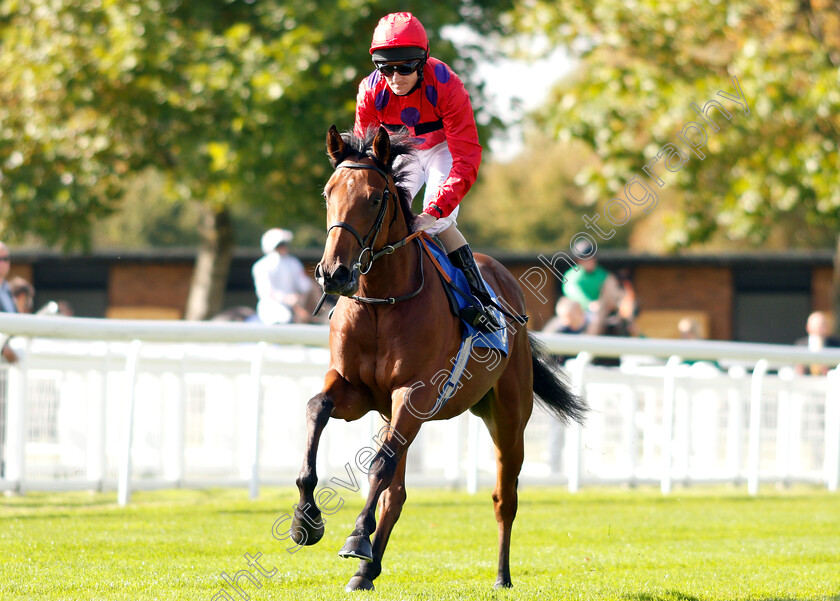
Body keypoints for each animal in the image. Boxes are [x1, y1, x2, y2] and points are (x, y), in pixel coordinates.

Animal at [292, 126, 588, 592]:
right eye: (328, 193)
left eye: (374, 199)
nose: (334, 273)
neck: (381, 300)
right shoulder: (356, 391)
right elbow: (316, 409)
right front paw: (305, 519)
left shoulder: (414, 393)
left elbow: (379, 466)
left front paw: (355, 536)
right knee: (396, 493)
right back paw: (366, 571)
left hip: (507, 415)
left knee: (505, 496)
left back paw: (501, 575)